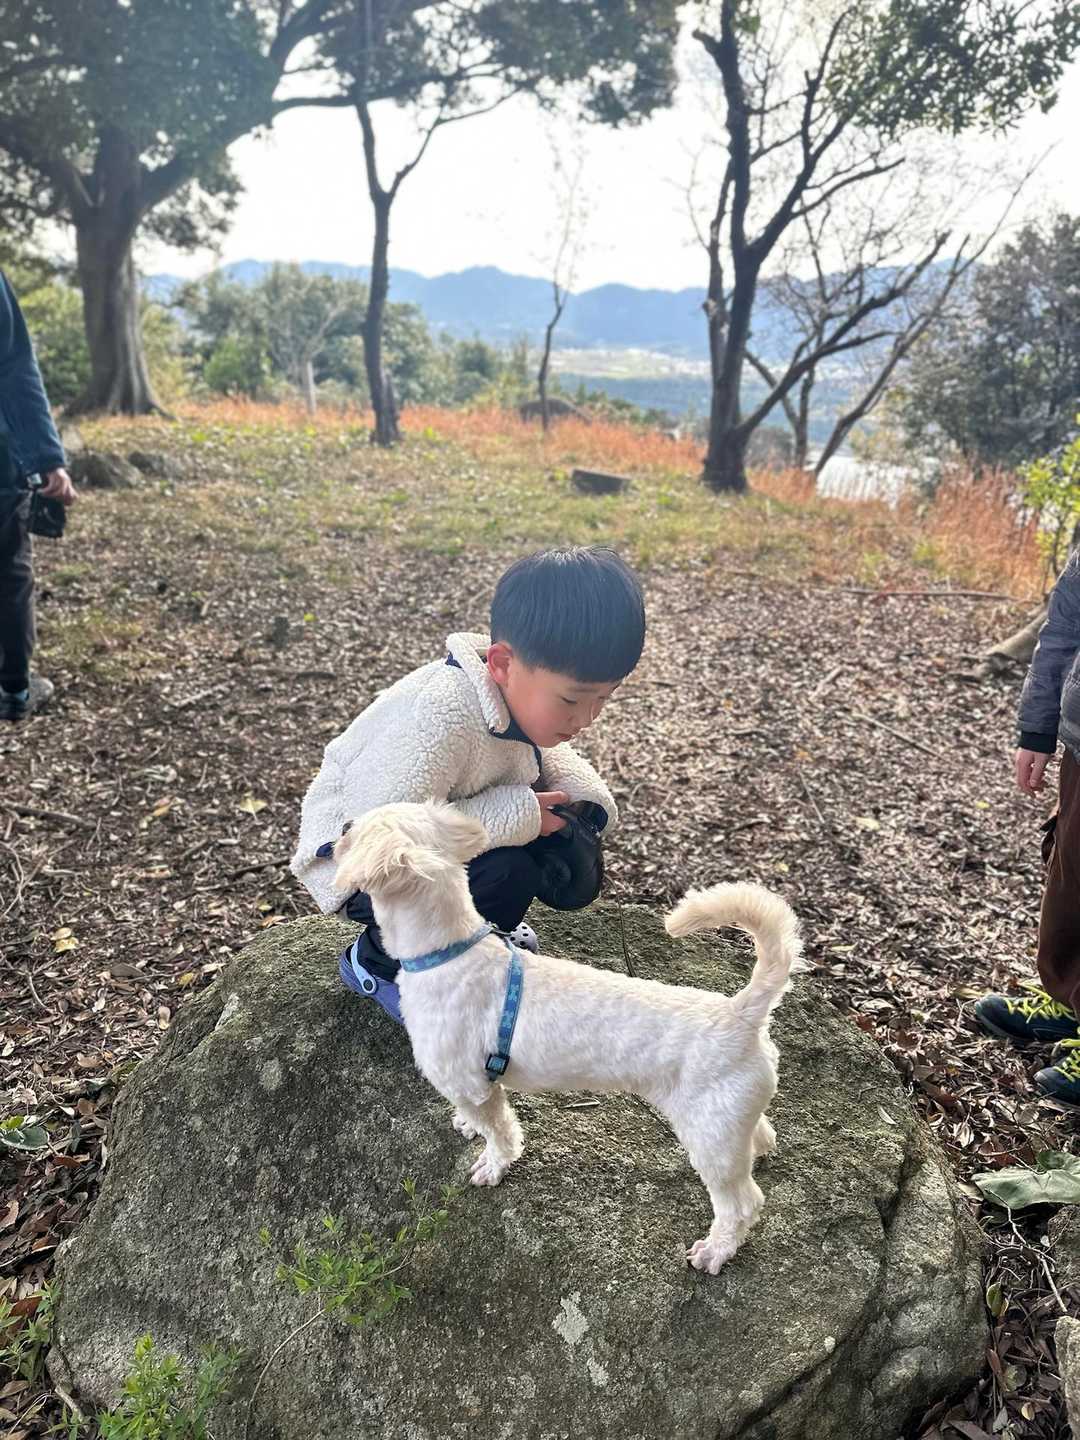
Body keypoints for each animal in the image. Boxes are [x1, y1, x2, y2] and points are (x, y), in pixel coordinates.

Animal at [333, 801, 806, 1273]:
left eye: (357, 831)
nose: (341, 825)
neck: (449, 953)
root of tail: (741, 1012)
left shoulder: (469, 1083)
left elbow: (501, 1132)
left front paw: (492, 1164)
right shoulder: (475, 1085)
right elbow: (479, 1118)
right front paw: (466, 1125)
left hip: (708, 1136)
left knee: (742, 1203)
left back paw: (716, 1250)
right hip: (728, 1118)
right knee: (761, 1136)